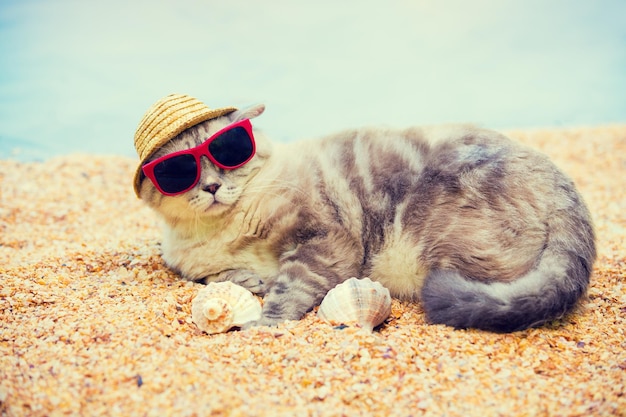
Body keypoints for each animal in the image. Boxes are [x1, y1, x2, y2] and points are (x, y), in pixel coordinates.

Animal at [136, 101, 596, 332]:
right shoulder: (192, 265)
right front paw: (247, 282)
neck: (222, 231)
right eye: (178, 171)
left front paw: (264, 323)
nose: (212, 187)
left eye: (225, 154)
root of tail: (562, 186)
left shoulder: (323, 241)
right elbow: (217, 278)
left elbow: (287, 290)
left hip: (437, 253)